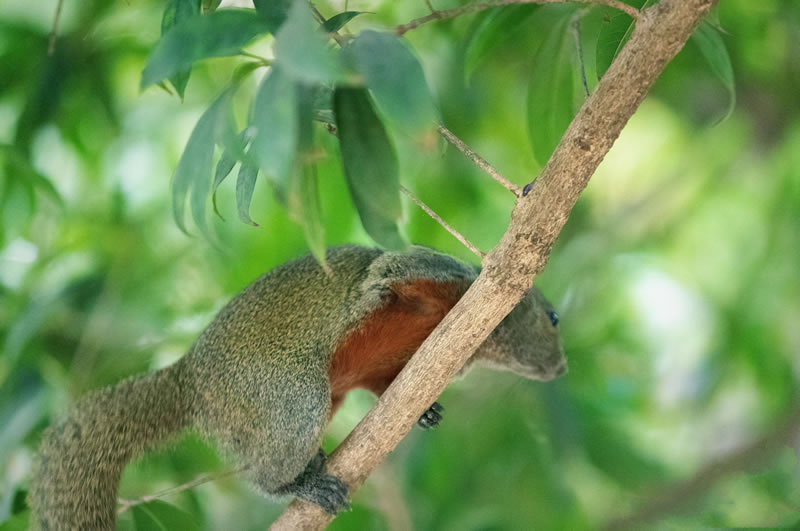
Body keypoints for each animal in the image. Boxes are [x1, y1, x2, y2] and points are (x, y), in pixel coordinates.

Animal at [28, 245, 564, 528]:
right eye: (554, 319)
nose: (560, 368)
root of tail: (191, 380)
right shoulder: (436, 273)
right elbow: (389, 269)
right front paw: (377, 288)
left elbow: (389, 385)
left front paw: (427, 412)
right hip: (275, 390)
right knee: (277, 448)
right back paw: (294, 482)